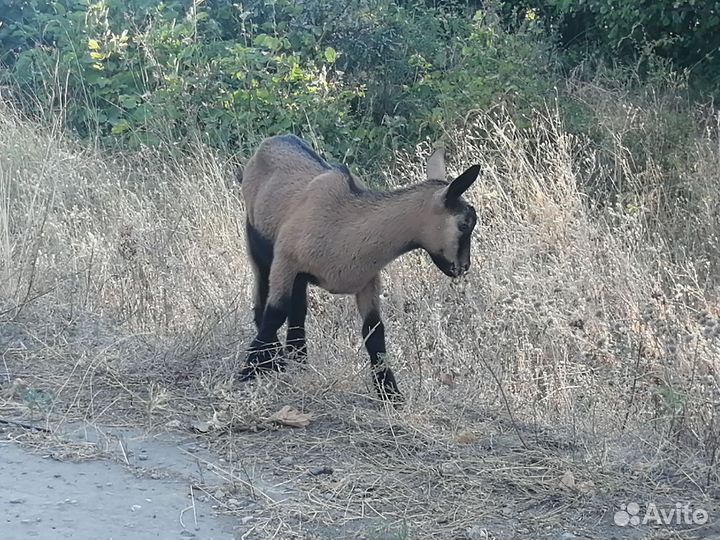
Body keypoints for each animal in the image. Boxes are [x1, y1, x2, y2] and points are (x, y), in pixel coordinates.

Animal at [238, 134, 479, 402]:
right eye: (465, 224)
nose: (462, 267)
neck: (346, 224)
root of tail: (275, 140)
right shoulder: (285, 261)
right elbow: (275, 313)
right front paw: (248, 370)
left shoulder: (367, 281)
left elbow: (374, 331)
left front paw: (390, 393)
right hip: (257, 245)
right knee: (262, 302)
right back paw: (277, 359)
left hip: (297, 277)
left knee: (298, 311)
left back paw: (298, 361)